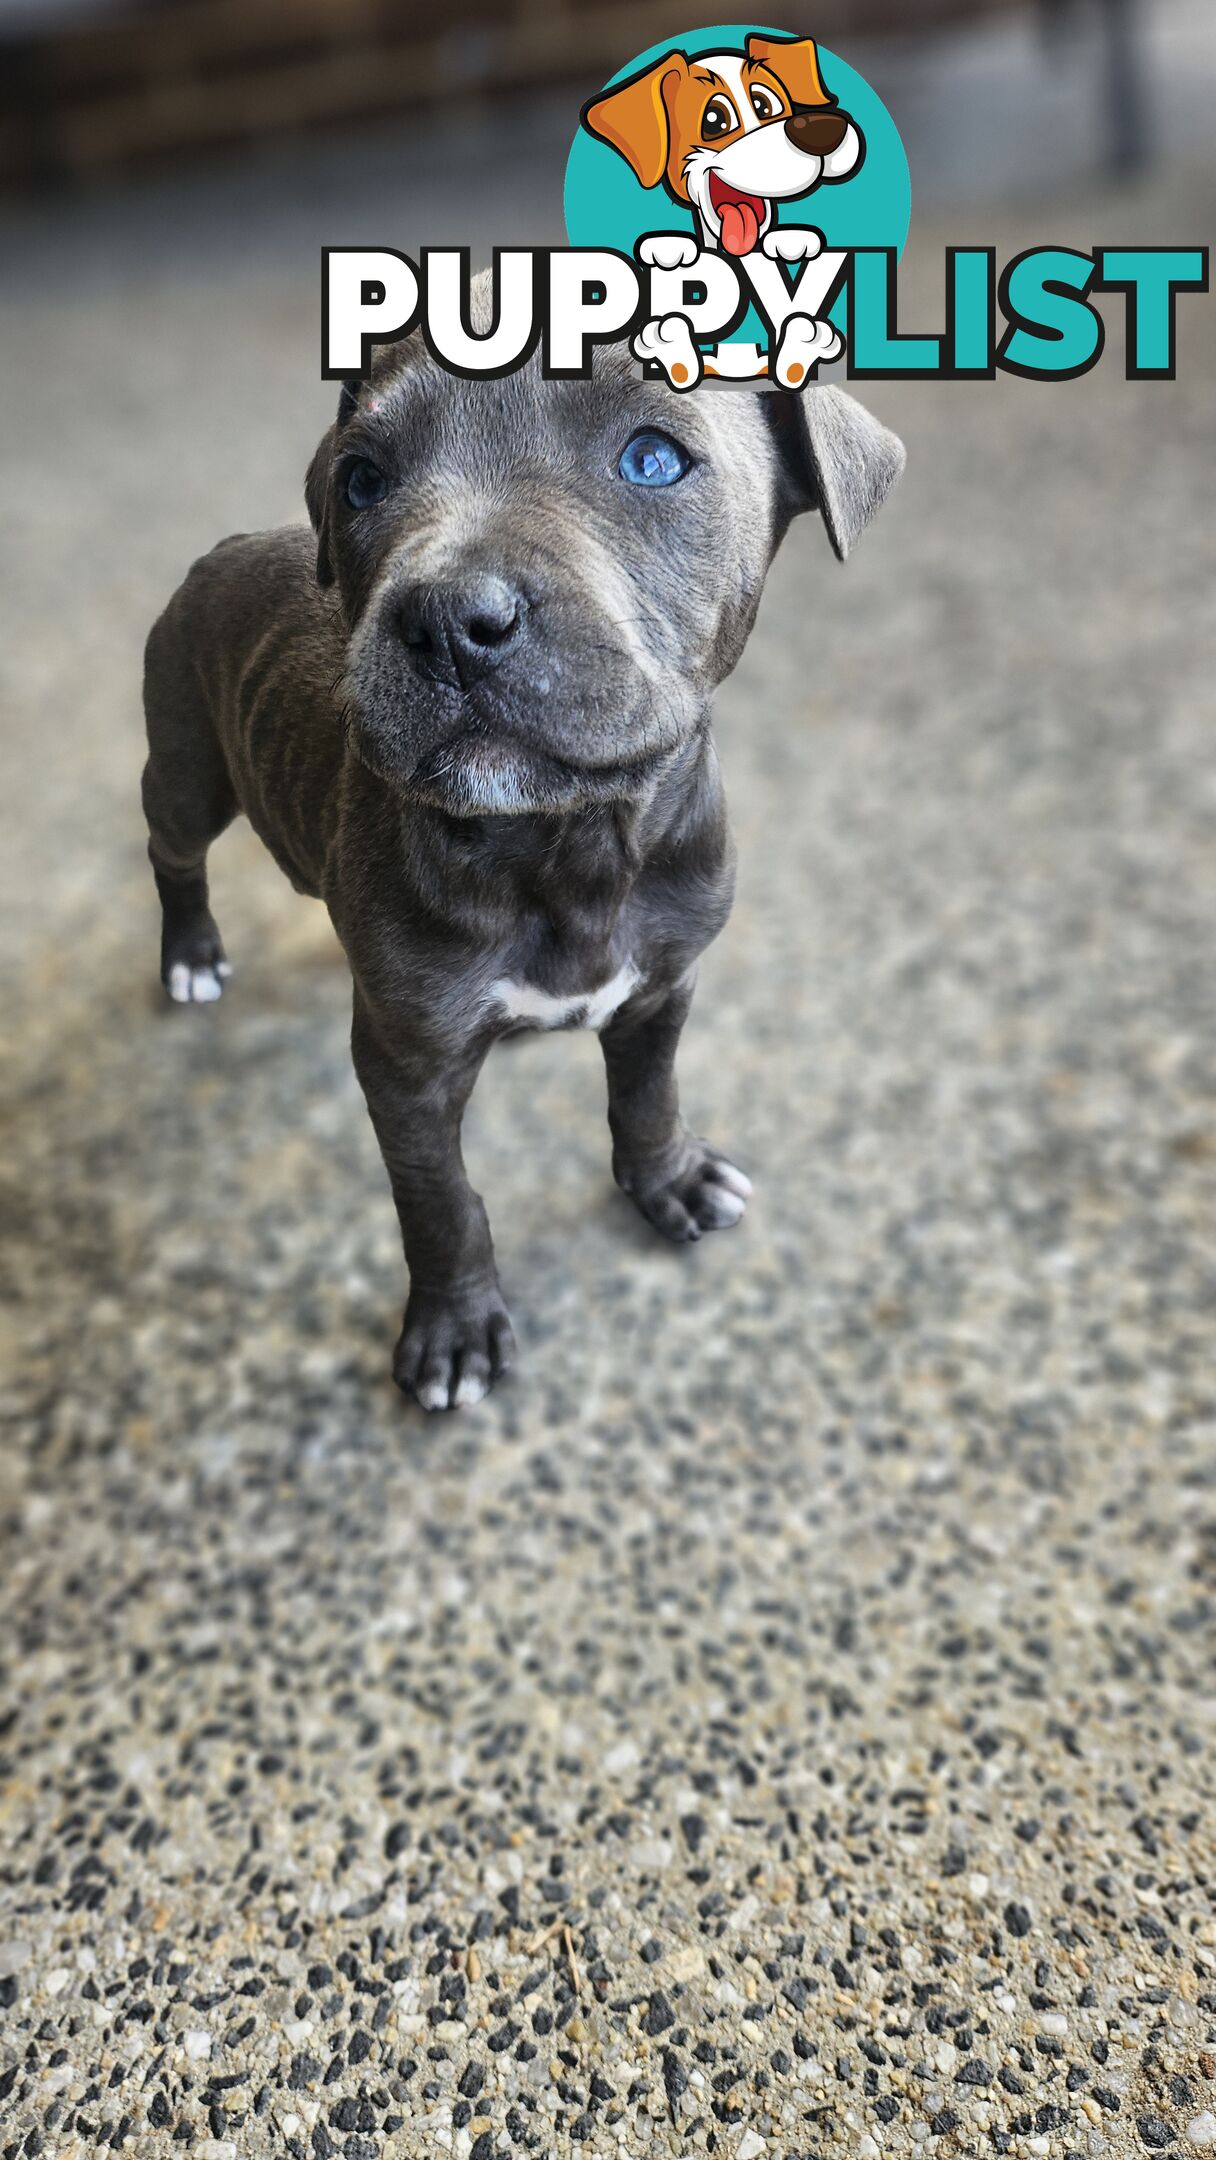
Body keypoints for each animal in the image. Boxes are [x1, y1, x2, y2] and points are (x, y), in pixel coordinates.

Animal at [140, 278, 902, 1408]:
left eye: (652, 458)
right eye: (362, 479)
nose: (450, 618)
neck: (570, 844)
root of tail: (224, 546)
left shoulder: (663, 988)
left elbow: (647, 1096)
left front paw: (669, 1181)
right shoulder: (405, 1071)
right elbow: (441, 1202)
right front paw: (454, 1331)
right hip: (188, 767)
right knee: (172, 851)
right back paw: (190, 954)